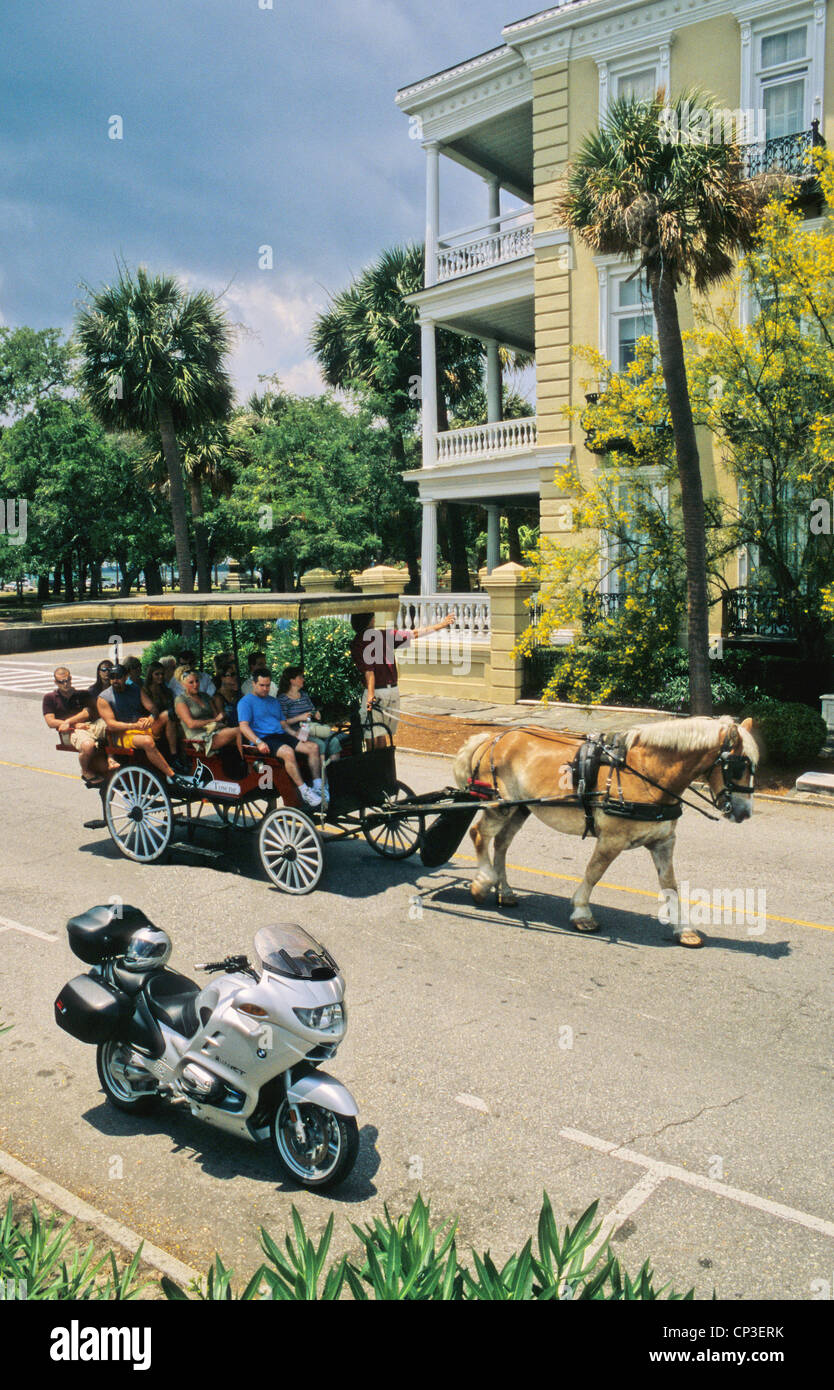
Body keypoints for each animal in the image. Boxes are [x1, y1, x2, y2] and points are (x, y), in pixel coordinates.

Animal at [453, 717, 761, 945]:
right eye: (738, 767)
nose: (745, 812)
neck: (646, 773)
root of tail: (492, 738)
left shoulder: (664, 841)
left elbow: (669, 883)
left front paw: (683, 928)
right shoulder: (612, 839)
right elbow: (594, 873)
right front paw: (581, 912)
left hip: (520, 809)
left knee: (501, 844)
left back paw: (504, 890)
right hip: (499, 805)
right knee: (480, 834)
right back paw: (483, 882)